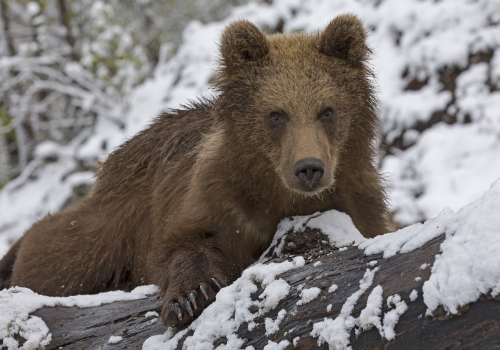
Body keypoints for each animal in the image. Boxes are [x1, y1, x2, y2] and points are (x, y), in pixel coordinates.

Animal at [0, 15, 386, 328]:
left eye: (327, 110)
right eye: (276, 114)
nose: (308, 168)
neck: (275, 193)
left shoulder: (358, 200)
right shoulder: (212, 196)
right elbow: (182, 243)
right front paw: (190, 296)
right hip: (110, 223)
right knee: (60, 255)